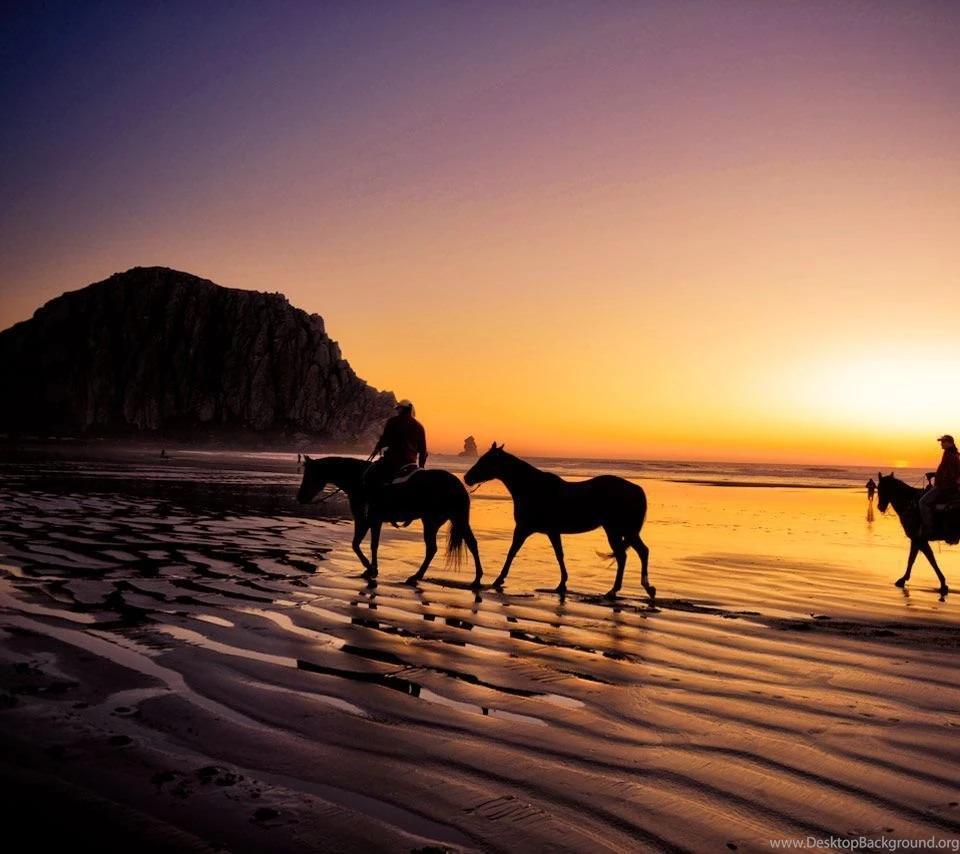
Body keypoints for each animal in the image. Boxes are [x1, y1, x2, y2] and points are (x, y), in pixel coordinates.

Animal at [296, 456, 483, 587]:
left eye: (309, 475)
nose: (300, 498)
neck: (359, 480)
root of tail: (458, 485)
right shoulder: (372, 521)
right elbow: (367, 544)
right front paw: (371, 568)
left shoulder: (366, 519)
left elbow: (360, 544)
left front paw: (370, 568)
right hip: (454, 519)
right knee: (469, 544)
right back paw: (476, 579)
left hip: (432, 522)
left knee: (433, 548)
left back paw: (415, 577)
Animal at [464, 443, 654, 600]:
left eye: (485, 460)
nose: (467, 478)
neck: (532, 487)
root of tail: (636, 489)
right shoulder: (551, 531)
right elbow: (559, 555)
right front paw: (562, 584)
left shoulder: (524, 529)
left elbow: (512, 552)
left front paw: (498, 579)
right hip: (624, 531)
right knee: (640, 552)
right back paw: (645, 588)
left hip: (617, 530)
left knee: (624, 555)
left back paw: (615, 590)